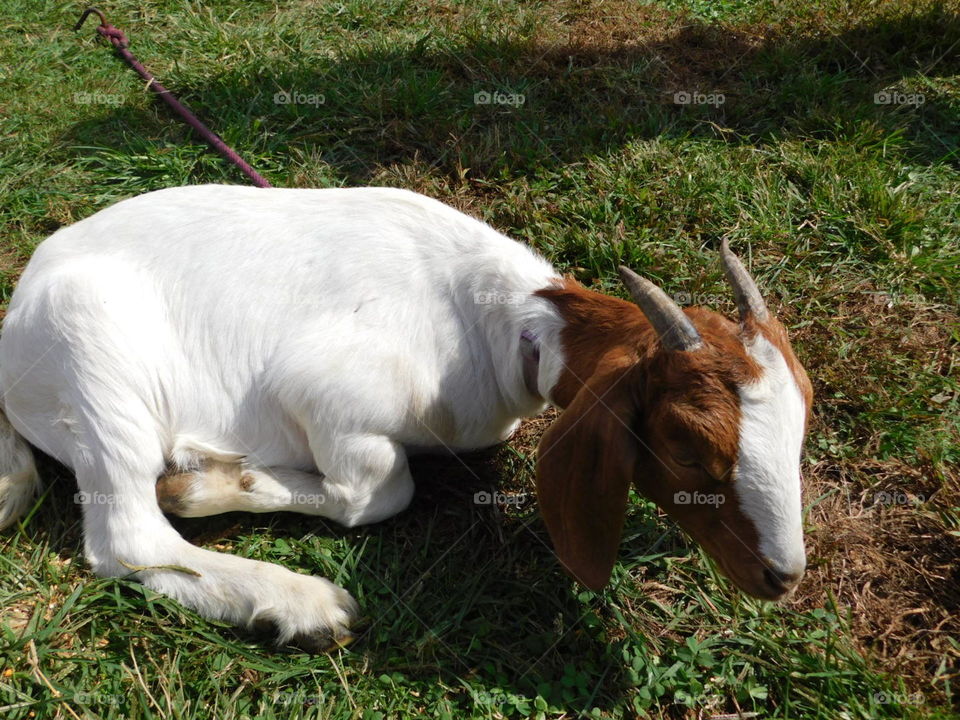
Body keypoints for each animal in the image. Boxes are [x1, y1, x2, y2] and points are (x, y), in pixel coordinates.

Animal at [0, 184, 812, 650]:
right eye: (688, 446)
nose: (783, 576)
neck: (502, 326)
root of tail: (20, 309)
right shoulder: (326, 393)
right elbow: (380, 492)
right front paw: (213, 483)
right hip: (94, 351)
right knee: (128, 535)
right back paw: (294, 602)